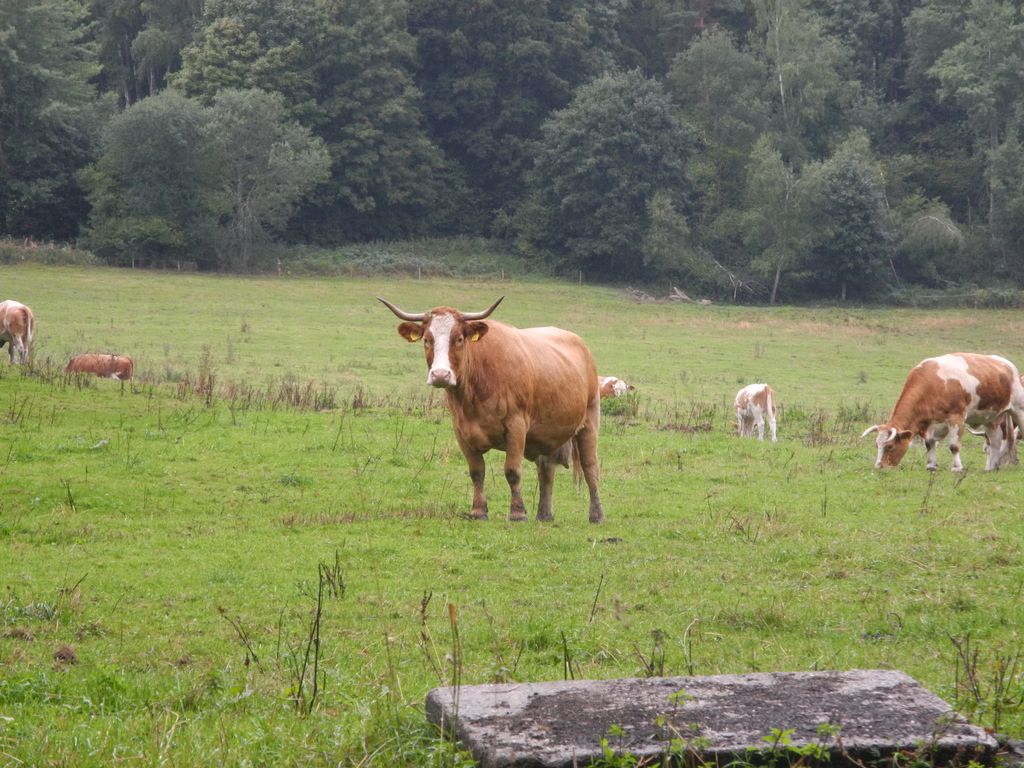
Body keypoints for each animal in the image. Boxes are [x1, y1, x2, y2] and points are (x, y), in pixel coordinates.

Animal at [380, 294, 602, 524]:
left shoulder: (516, 427)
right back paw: (544, 514)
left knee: (590, 467)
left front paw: (517, 513)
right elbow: (477, 472)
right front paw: (478, 511)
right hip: (548, 433)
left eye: (459, 339)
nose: (440, 375)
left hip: (589, 422)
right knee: (546, 469)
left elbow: (512, 471)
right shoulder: (461, 432)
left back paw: (596, 514)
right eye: (427, 340)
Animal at [856, 354, 1024, 473]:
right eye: (876, 445)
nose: (879, 467)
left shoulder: (956, 417)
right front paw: (931, 466)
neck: (932, 384)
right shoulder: (930, 422)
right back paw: (991, 467)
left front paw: (957, 468)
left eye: (890, 446)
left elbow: (954, 446)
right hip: (992, 417)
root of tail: (1009, 366)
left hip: (1018, 410)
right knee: (995, 441)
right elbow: (929, 444)